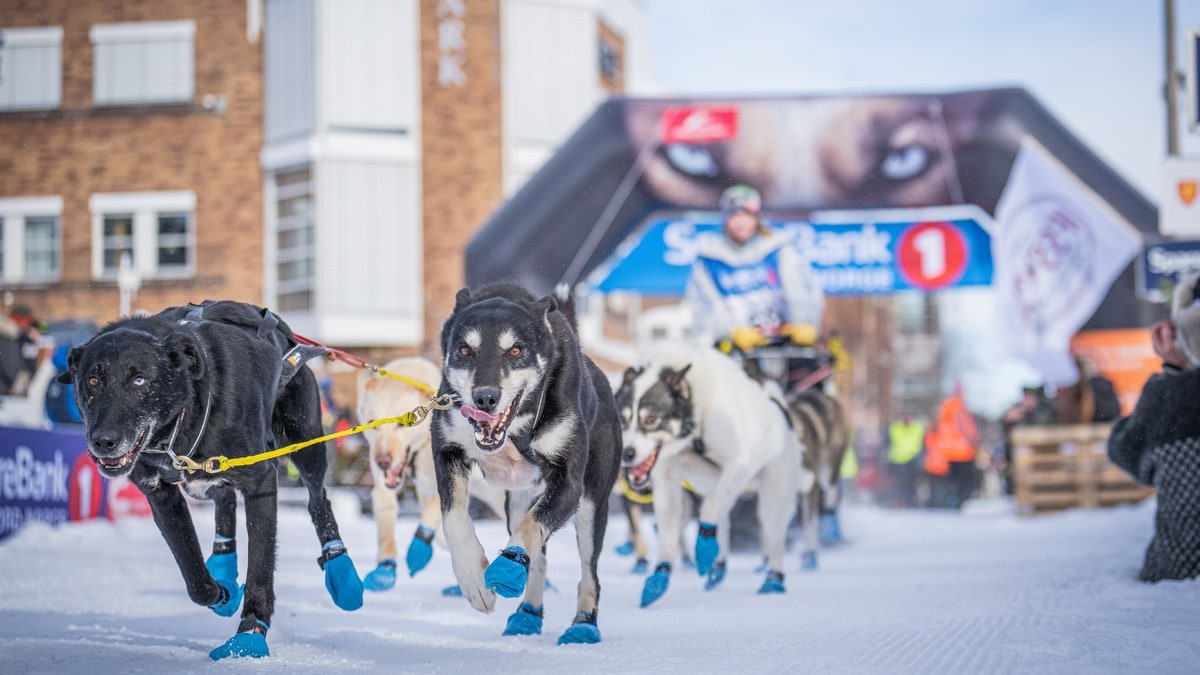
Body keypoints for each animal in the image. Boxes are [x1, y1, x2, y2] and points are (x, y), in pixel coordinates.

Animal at [58, 299, 362, 658]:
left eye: (139, 380)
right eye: (92, 381)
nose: (103, 441)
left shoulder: (261, 481)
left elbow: (260, 565)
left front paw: (250, 633)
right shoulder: (160, 494)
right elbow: (192, 573)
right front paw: (220, 593)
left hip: (306, 443)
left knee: (318, 500)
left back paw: (341, 569)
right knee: (224, 499)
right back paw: (224, 567)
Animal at [429, 281, 619, 643]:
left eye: (515, 351)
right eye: (464, 350)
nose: (485, 398)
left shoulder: (568, 485)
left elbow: (532, 527)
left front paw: (506, 567)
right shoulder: (447, 450)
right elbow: (453, 519)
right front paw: (473, 578)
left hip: (591, 504)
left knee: (589, 574)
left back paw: (583, 623)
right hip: (517, 499)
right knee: (538, 558)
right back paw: (528, 614)